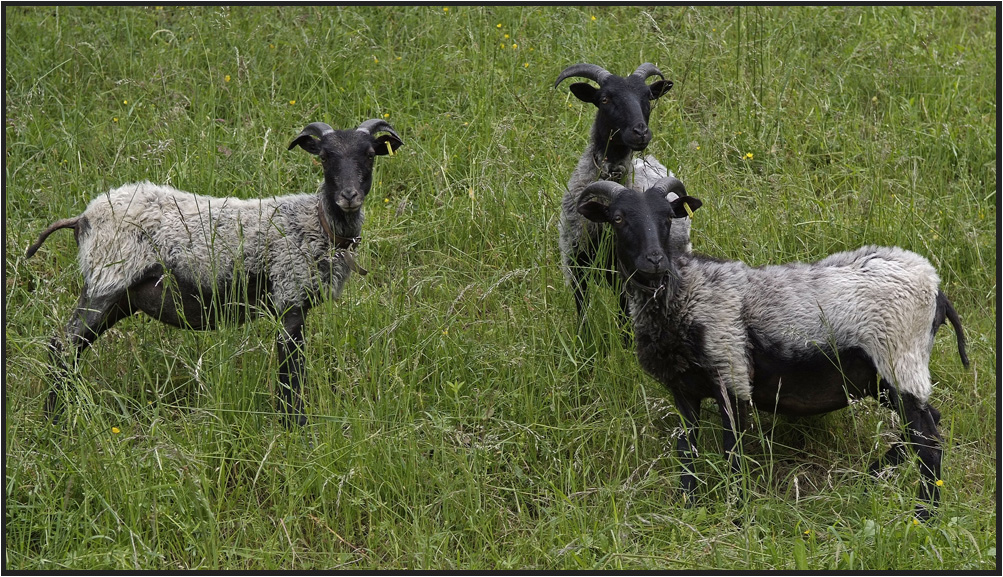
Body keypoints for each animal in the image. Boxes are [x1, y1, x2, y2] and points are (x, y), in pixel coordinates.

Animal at [24, 118, 399, 425]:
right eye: (324, 157)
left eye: (369, 155)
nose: (349, 195)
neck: (315, 224)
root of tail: (83, 217)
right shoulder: (288, 298)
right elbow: (291, 375)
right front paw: (295, 430)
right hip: (106, 281)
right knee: (61, 347)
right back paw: (54, 423)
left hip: (121, 296)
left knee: (71, 350)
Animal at [553, 62, 686, 329]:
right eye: (604, 98)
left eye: (647, 97)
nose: (640, 132)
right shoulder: (575, 267)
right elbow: (582, 313)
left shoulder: (625, 276)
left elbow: (625, 318)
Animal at [577, 174, 966, 517]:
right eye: (618, 218)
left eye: (667, 218)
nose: (654, 260)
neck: (684, 293)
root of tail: (935, 287)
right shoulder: (683, 390)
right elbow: (687, 452)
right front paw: (687, 508)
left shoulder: (732, 376)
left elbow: (732, 454)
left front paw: (734, 514)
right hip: (880, 378)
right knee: (927, 423)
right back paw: (872, 478)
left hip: (900, 360)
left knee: (929, 441)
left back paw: (924, 515)